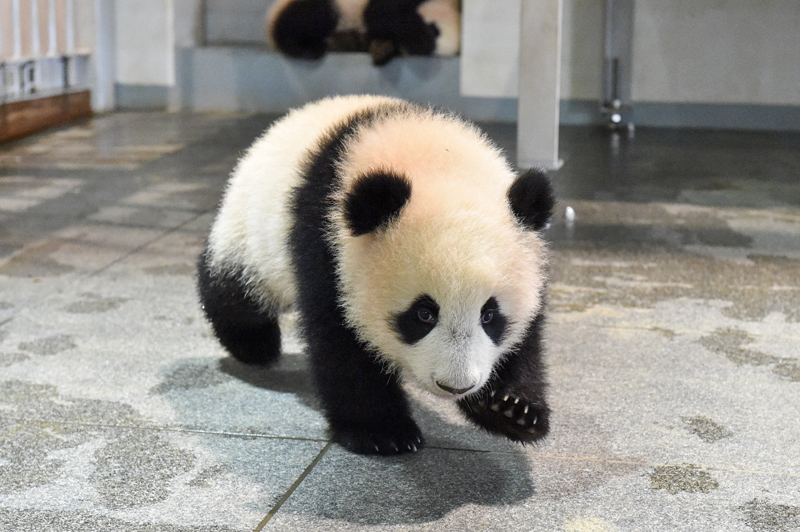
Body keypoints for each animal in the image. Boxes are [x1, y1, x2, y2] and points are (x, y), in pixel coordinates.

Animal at [197, 94, 552, 454]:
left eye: (489, 315)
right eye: (423, 314)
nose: (455, 385)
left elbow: (528, 337)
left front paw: (511, 409)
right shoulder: (328, 244)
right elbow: (340, 339)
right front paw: (383, 431)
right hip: (254, 233)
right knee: (238, 290)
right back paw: (253, 343)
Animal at [266, 0, 460, 65]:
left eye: (435, 53)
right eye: (434, 30)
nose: (418, 50)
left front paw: (383, 49)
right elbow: (378, 14)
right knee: (312, 15)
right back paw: (303, 49)